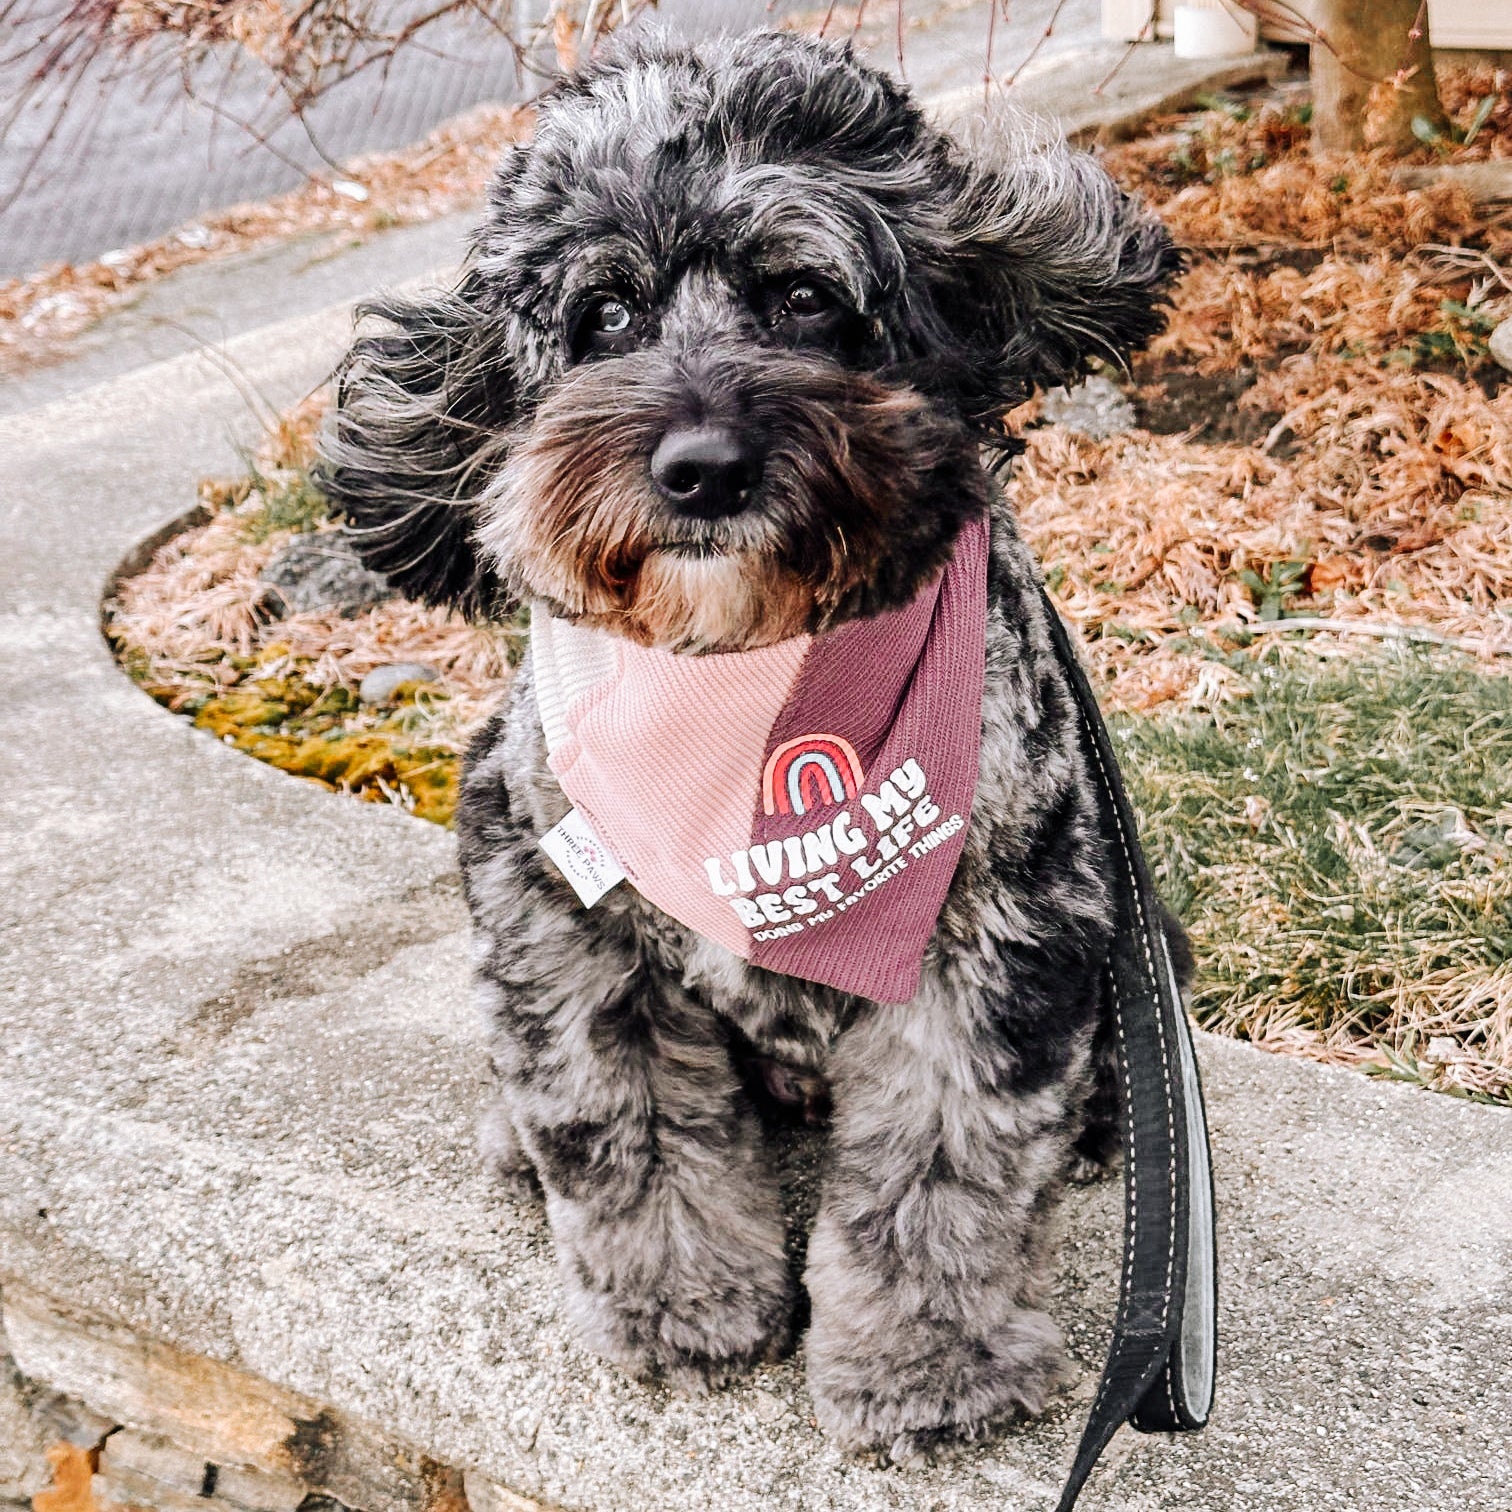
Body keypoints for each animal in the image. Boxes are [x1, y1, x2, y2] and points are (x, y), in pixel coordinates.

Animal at [319, 26, 1179, 1463]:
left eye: (805, 296)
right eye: (604, 316)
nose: (703, 467)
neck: (742, 686)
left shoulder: (998, 932)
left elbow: (945, 1167)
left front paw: (925, 1366)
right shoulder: (553, 910)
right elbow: (626, 1130)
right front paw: (682, 1308)